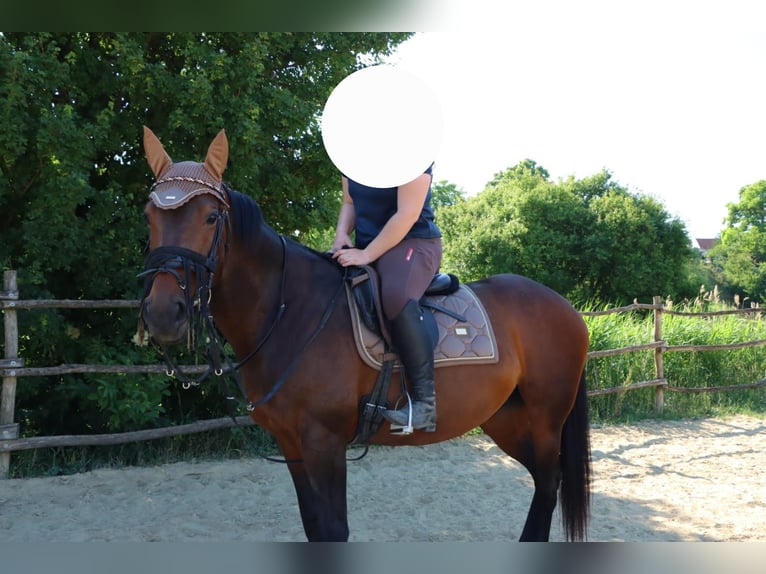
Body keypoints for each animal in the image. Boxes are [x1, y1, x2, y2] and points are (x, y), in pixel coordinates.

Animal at [138, 127, 592, 544]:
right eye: (149, 217)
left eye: (211, 218)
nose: (163, 313)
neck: (291, 312)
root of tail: (566, 306)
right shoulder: (291, 444)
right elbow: (315, 527)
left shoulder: (324, 443)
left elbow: (334, 530)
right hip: (504, 416)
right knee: (541, 479)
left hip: (546, 415)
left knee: (549, 483)